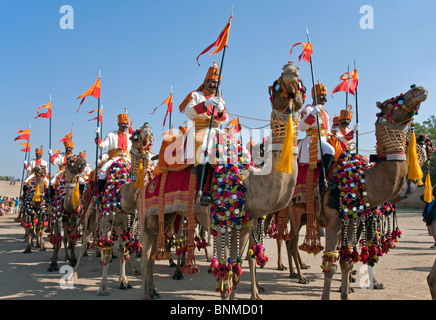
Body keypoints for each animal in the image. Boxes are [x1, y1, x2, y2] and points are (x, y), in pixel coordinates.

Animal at [73, 122, 157, 296]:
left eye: (151, 135)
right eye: (136, 135)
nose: (146, 126)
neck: (122, 193)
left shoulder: (127, 220)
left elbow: (123, 248)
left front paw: (123, 281)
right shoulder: (108, 217)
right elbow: (107, 248)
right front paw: (102, 287)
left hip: (118, 222)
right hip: (90, 214)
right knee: (84, 241)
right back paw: (74, 273)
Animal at [141, 60, 304, 300]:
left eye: (300, 84)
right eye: (276, 85)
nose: (291, 68)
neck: (248, 184)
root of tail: (148, 183)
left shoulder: (244, 225)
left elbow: (238, 267)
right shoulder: (221, 222)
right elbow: (225, 269)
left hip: (168, 215)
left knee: (153, 256)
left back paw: (153, 291)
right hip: (150, 215)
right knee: (146, 256)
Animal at [318, 85, 428, 300]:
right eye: (390, 102)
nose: (419, 89)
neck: (363, 180)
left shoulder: (355, 218)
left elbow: (348, 259)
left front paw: (348, 291)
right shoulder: (334, 220)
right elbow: (331, 264)